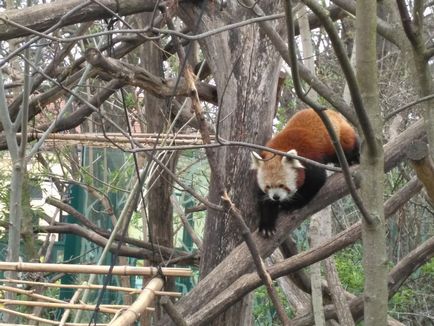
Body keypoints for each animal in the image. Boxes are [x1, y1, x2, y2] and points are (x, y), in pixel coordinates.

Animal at [251, 108, 360, 238]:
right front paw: (267, 224)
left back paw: (354, 158)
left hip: (340, 136)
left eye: (282, 185)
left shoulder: (309, 159)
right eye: (268, 186)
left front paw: (291, 205)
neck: (280, 148)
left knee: (349, 145)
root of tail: (333, 113)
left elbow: (315, 182)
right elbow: (264, 200)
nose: (276, 197)